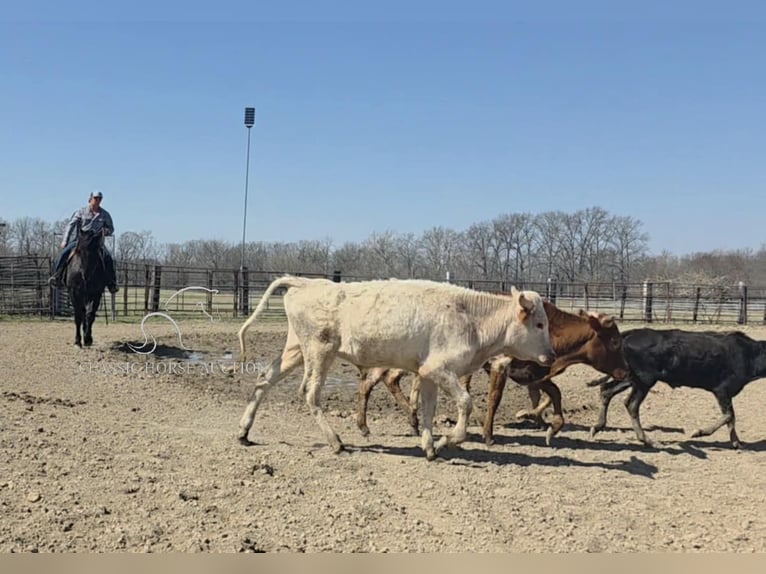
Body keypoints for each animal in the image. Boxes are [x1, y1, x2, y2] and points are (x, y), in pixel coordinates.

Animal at [237, 276, 556, 462]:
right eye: (540, 324)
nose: (551, 355)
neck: (471, 318)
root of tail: (305, 282)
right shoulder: (440, 369)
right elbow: (465, 404)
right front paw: (446, 441)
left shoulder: (427, 373)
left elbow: (428, 410)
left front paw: (430, 447)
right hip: (319, 351)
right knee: (309, 393)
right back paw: (336, 442)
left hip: (295, 350)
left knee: (264, 379)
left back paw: (244, 431)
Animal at [356, 304, 628, 448]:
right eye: (615, 341)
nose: (625, 370)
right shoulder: (500, 365)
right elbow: (495, 399)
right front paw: (489, 435)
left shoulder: (536, 374)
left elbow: (555, 394)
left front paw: (551, 428)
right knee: (373, 381)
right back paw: (367, 425)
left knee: (384, 380)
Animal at [588, 328, 766, 450]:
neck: (750, 355)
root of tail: (627, 336)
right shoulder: (722, 390)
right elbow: (729, 416)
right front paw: (699, 432)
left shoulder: (726, 393)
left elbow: (731, 418)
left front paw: (737, 443)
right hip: (644, 380)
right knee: (631, 404)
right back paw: (647, 440)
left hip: (631, 378)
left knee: (606, 390)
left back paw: (596, 427)